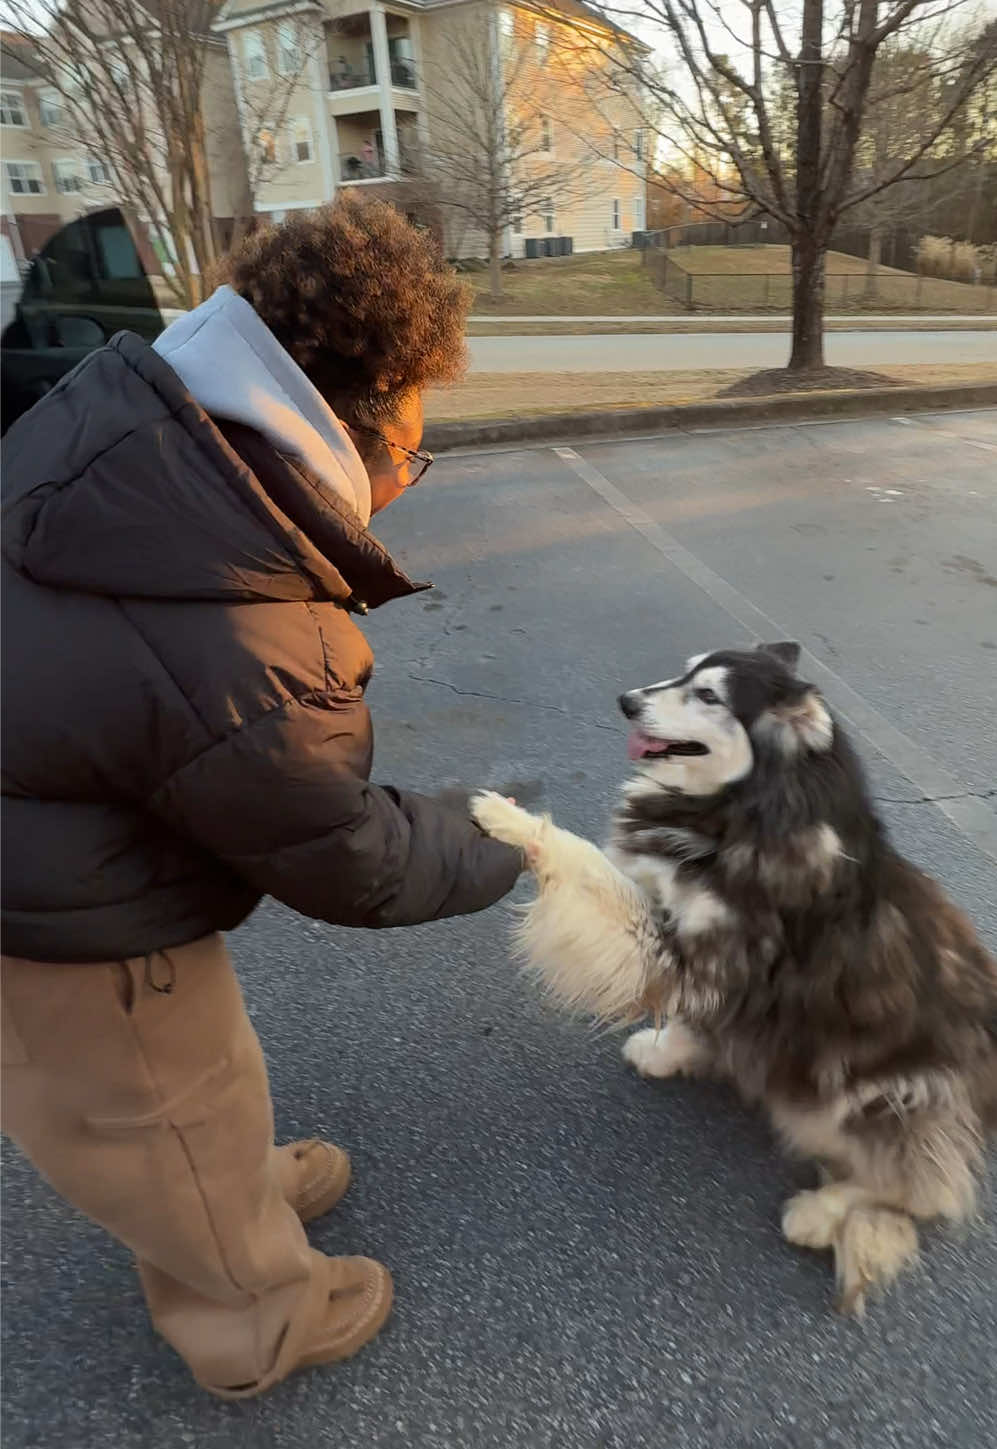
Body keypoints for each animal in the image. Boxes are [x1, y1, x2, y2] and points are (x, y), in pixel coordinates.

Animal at [472, 643, 997, 1315]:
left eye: (709, 696)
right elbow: (690, 1019)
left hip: (880, 1095)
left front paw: (507, 820)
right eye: (684, 670)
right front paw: (669, 1053)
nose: (627, 701)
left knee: (928, 1190)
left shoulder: (687, 952)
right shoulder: (709, 972)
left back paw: (821, 1211)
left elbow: (582, 861)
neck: (743, 809)